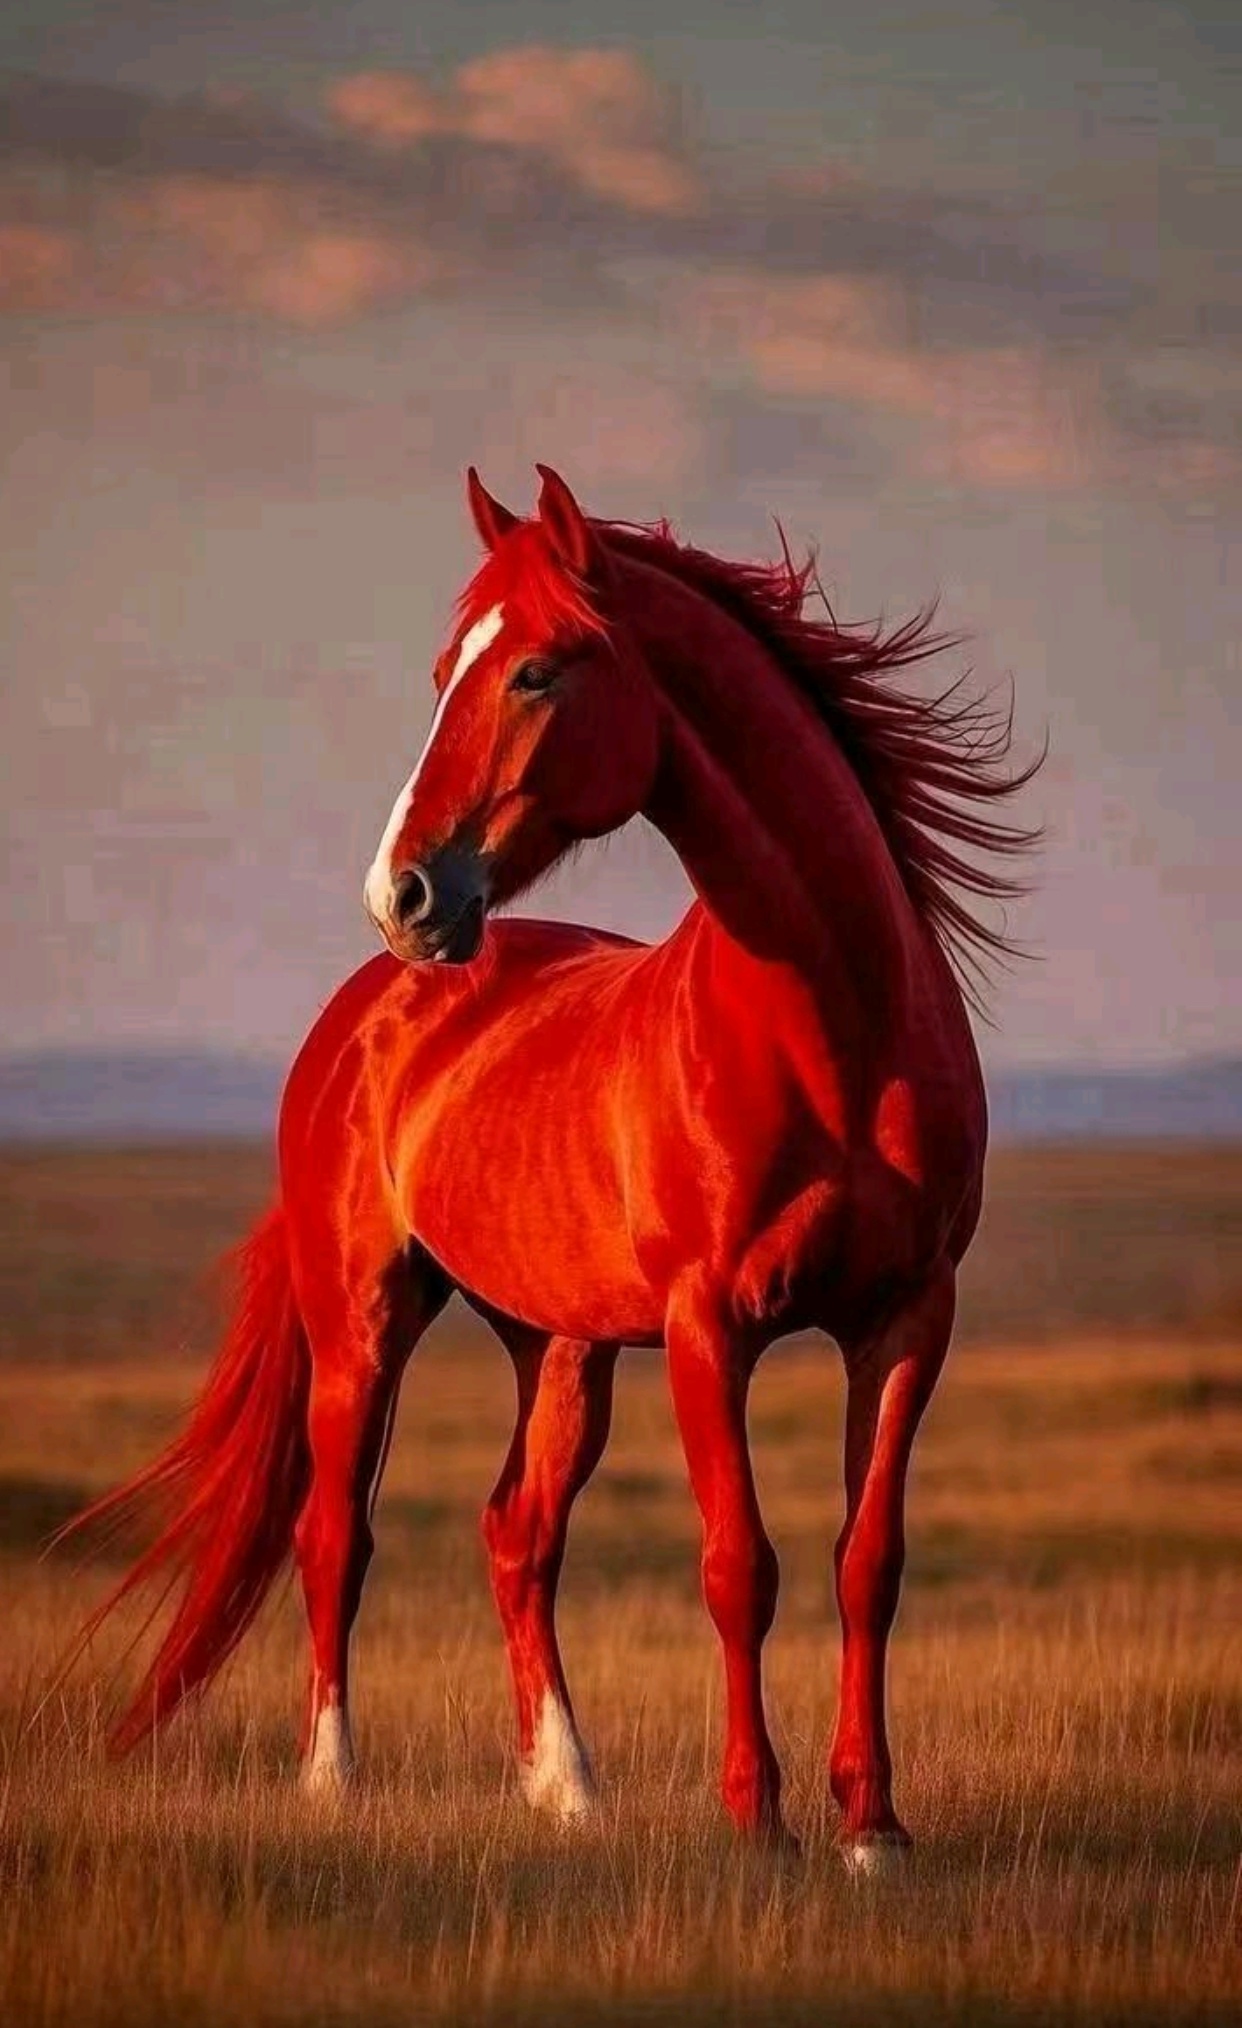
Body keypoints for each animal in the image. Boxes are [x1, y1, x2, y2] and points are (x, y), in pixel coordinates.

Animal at [65, 464, 1038, 1870]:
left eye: (533, 671)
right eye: (442, 672)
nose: (405, 895)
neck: (832, 1035)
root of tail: (363, 1013)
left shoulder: (907, 1320)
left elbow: (870, 1561)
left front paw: (873, 1829)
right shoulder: (708, 1327)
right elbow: (738, 1565)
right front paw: (757, 1822)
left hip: (560, 1349)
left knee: (516, 1535)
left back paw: (567, 1786)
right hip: (365, 1325)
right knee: (334, 1532)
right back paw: (332, 1780)